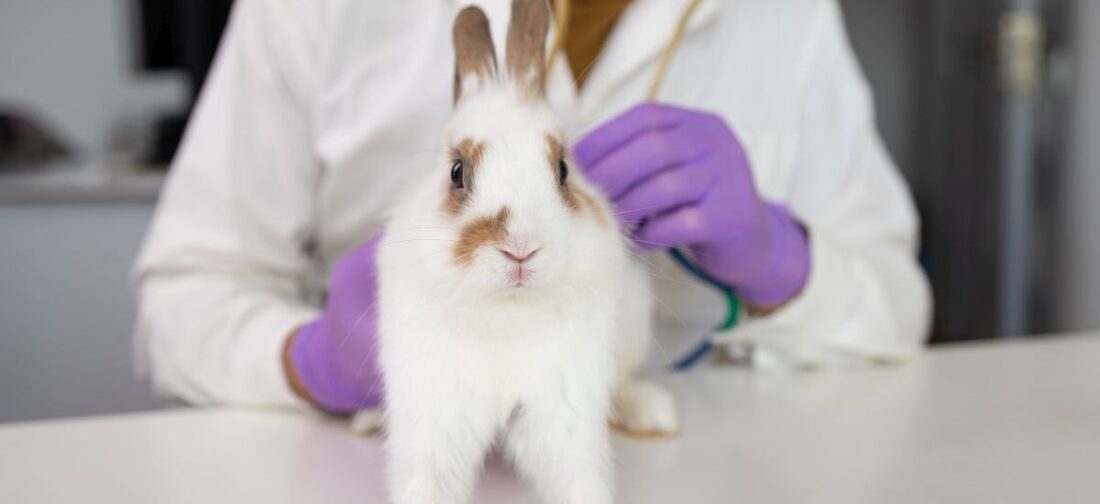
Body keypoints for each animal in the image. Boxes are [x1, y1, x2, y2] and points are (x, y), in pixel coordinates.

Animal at [355, 1, 679, 502]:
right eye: (457, 172)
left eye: (562, 169)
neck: (506, 310)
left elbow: (578, 478)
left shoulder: (564, 412)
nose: (521, 248)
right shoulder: (435, 414)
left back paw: (652, 412)